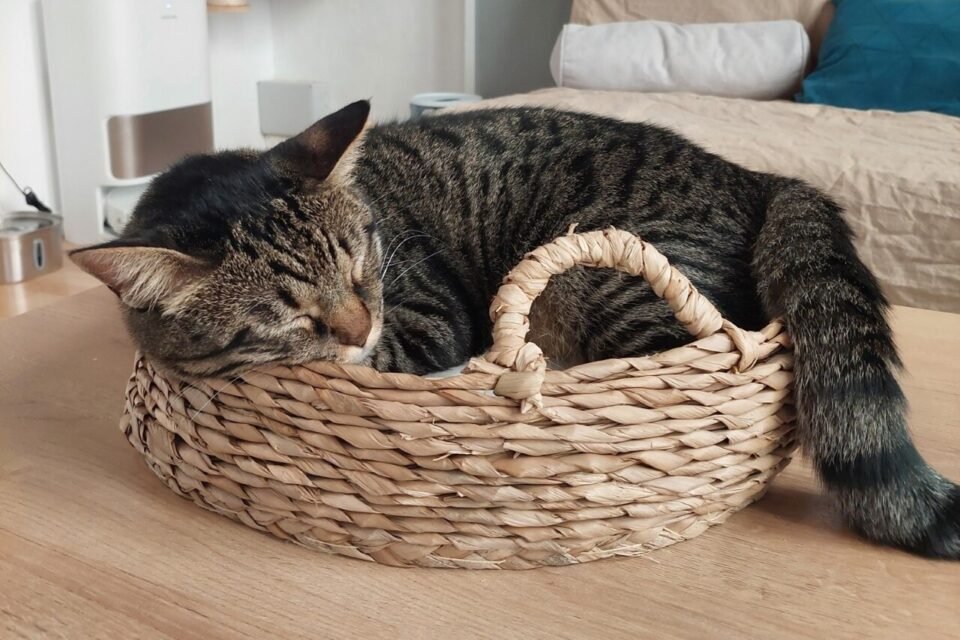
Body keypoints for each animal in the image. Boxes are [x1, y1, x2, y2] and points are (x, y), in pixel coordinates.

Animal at [73, 97, 960, 556]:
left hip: (612, 288)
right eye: (288, 312)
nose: (359, 324)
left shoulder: (425, 317)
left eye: (362, 260)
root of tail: (759, 176)